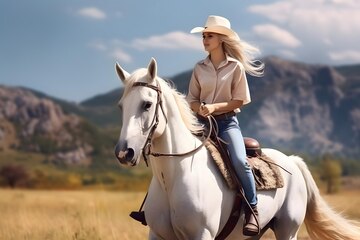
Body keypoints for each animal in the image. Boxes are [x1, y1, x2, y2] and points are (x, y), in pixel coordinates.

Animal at [114, 58, 358, 240]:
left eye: (147, 104)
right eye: (121, 107)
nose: (124, 152)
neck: (173, 178)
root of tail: (292, 161)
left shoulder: (202, 234)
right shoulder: (157, 234)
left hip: (288, 229)